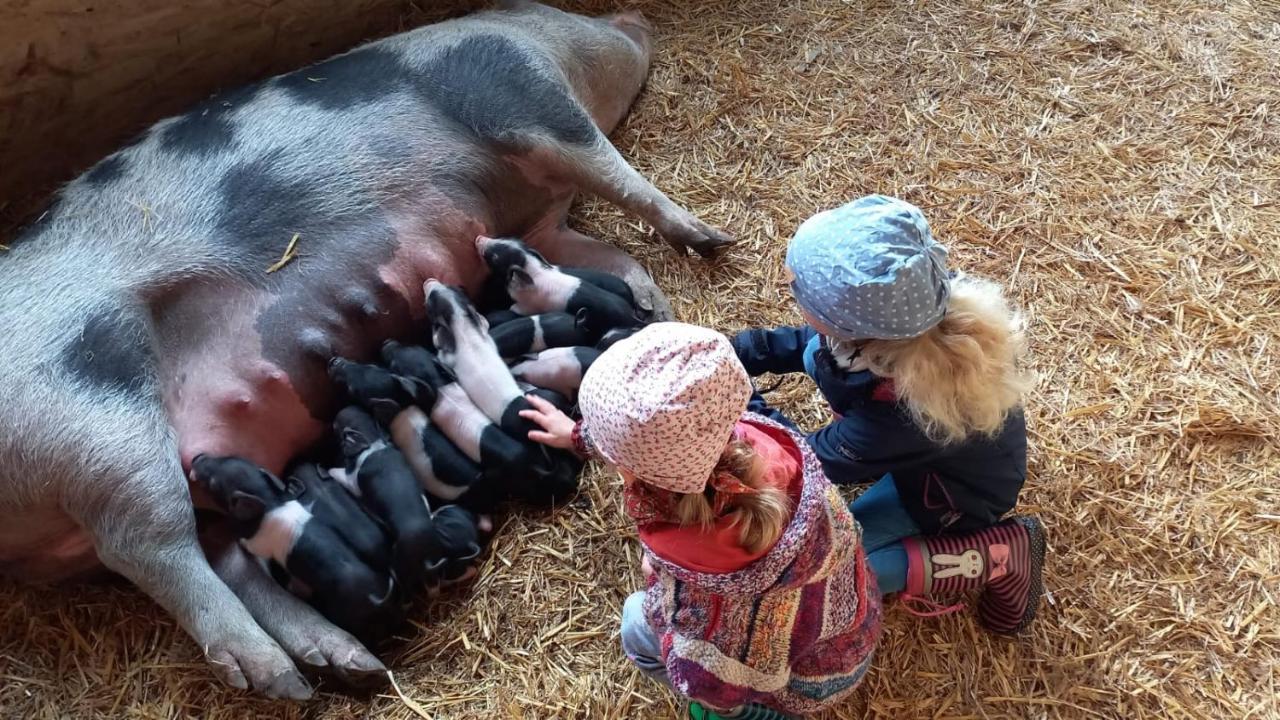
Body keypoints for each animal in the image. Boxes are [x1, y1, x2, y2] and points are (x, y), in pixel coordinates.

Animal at [186, 450, 396, 640]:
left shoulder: (260, 542)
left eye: (212, 484)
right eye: (231, 456)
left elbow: (250, 545)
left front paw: (239, 540)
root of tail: (376, 596)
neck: (270, 501)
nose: (197, 457)